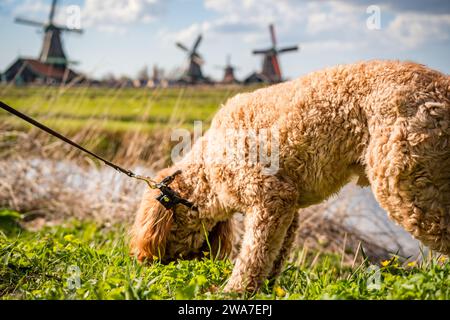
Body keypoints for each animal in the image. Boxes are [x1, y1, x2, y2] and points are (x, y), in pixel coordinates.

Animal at [128, 60, 448, 292]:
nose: (148, 264)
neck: (207, 172)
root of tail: (441, 91)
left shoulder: (269, 199)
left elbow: (252, 256)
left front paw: (233, 292)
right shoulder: (288, 209)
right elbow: (274, 257)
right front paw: (265, 289)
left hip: (407, 189)